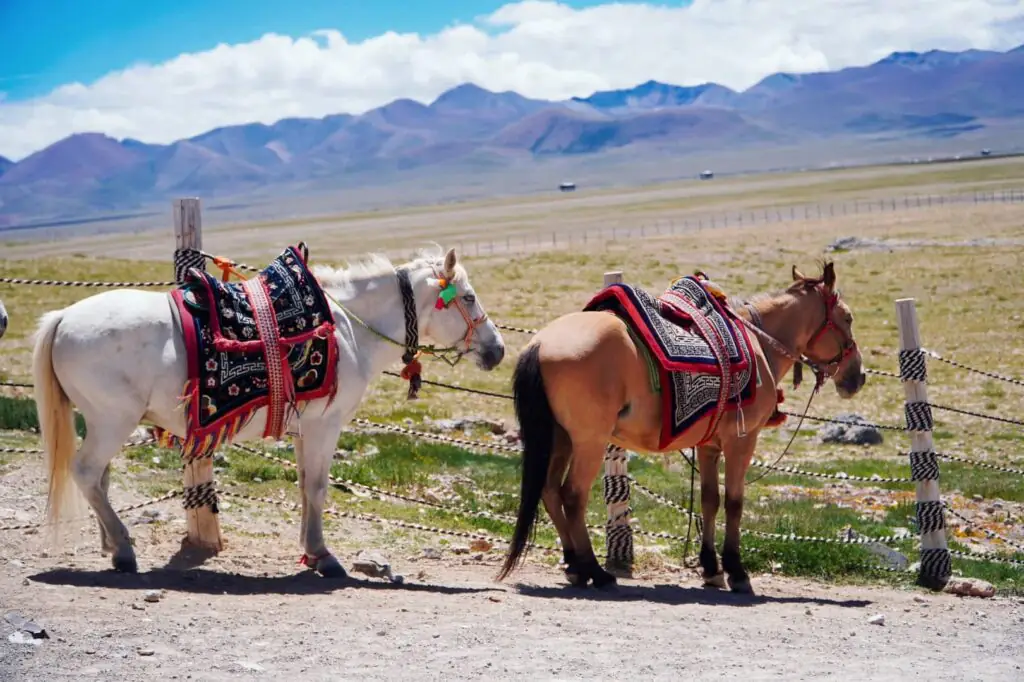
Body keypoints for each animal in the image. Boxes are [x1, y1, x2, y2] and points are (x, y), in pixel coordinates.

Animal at [32, 245, 506, 577]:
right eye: (468, 297)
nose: (497, 350)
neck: (348, 329)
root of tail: (63, 318)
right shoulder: (324, 427)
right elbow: (317, 488)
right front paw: (324, 557)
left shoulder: (304, 430)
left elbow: (304, 487)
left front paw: (310, 552)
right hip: (112, 421)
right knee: (87, 472)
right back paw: (125, 549)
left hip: (99, 421)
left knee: (100, 478)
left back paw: (112, 548)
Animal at [496, 262, 864, 593]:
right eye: (847, 318)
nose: (857, 377)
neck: (760, 346)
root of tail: (540, 343)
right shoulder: (741, 441)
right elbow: (734, 503)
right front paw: (736, 572)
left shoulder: (708, 445)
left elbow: (709, 501)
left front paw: (711, 569)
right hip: (589, 441)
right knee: (572, 495)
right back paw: (596, 572)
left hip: (560, 437)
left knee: (549, 491)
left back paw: (574, 565)